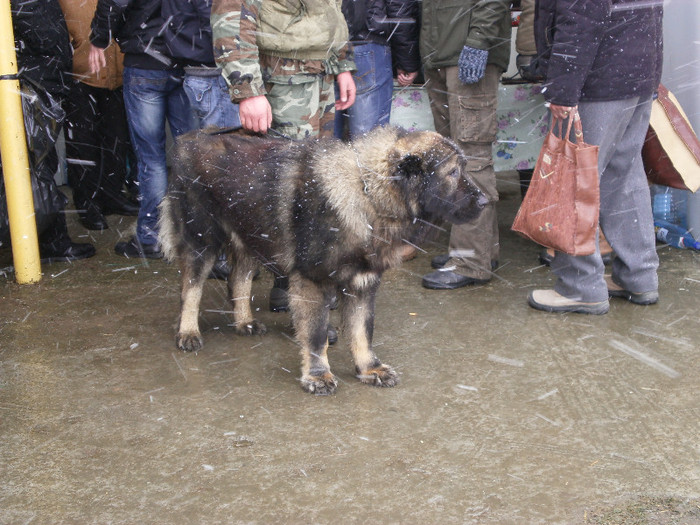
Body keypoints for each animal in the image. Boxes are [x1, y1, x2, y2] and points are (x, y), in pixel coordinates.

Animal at [160, 127, 486, 392]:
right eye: (453, 173)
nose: (485, 200)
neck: (367, 192)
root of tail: (189, 139)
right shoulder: (312, 281)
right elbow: (316, 335)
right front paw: (318, 375)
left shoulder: (362, 282)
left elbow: (362, 331)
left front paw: (369, 369)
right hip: (202, 239)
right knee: (190, 289)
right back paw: (188, 332)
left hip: (250, 233)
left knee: (238, 278)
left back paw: (244, 322)